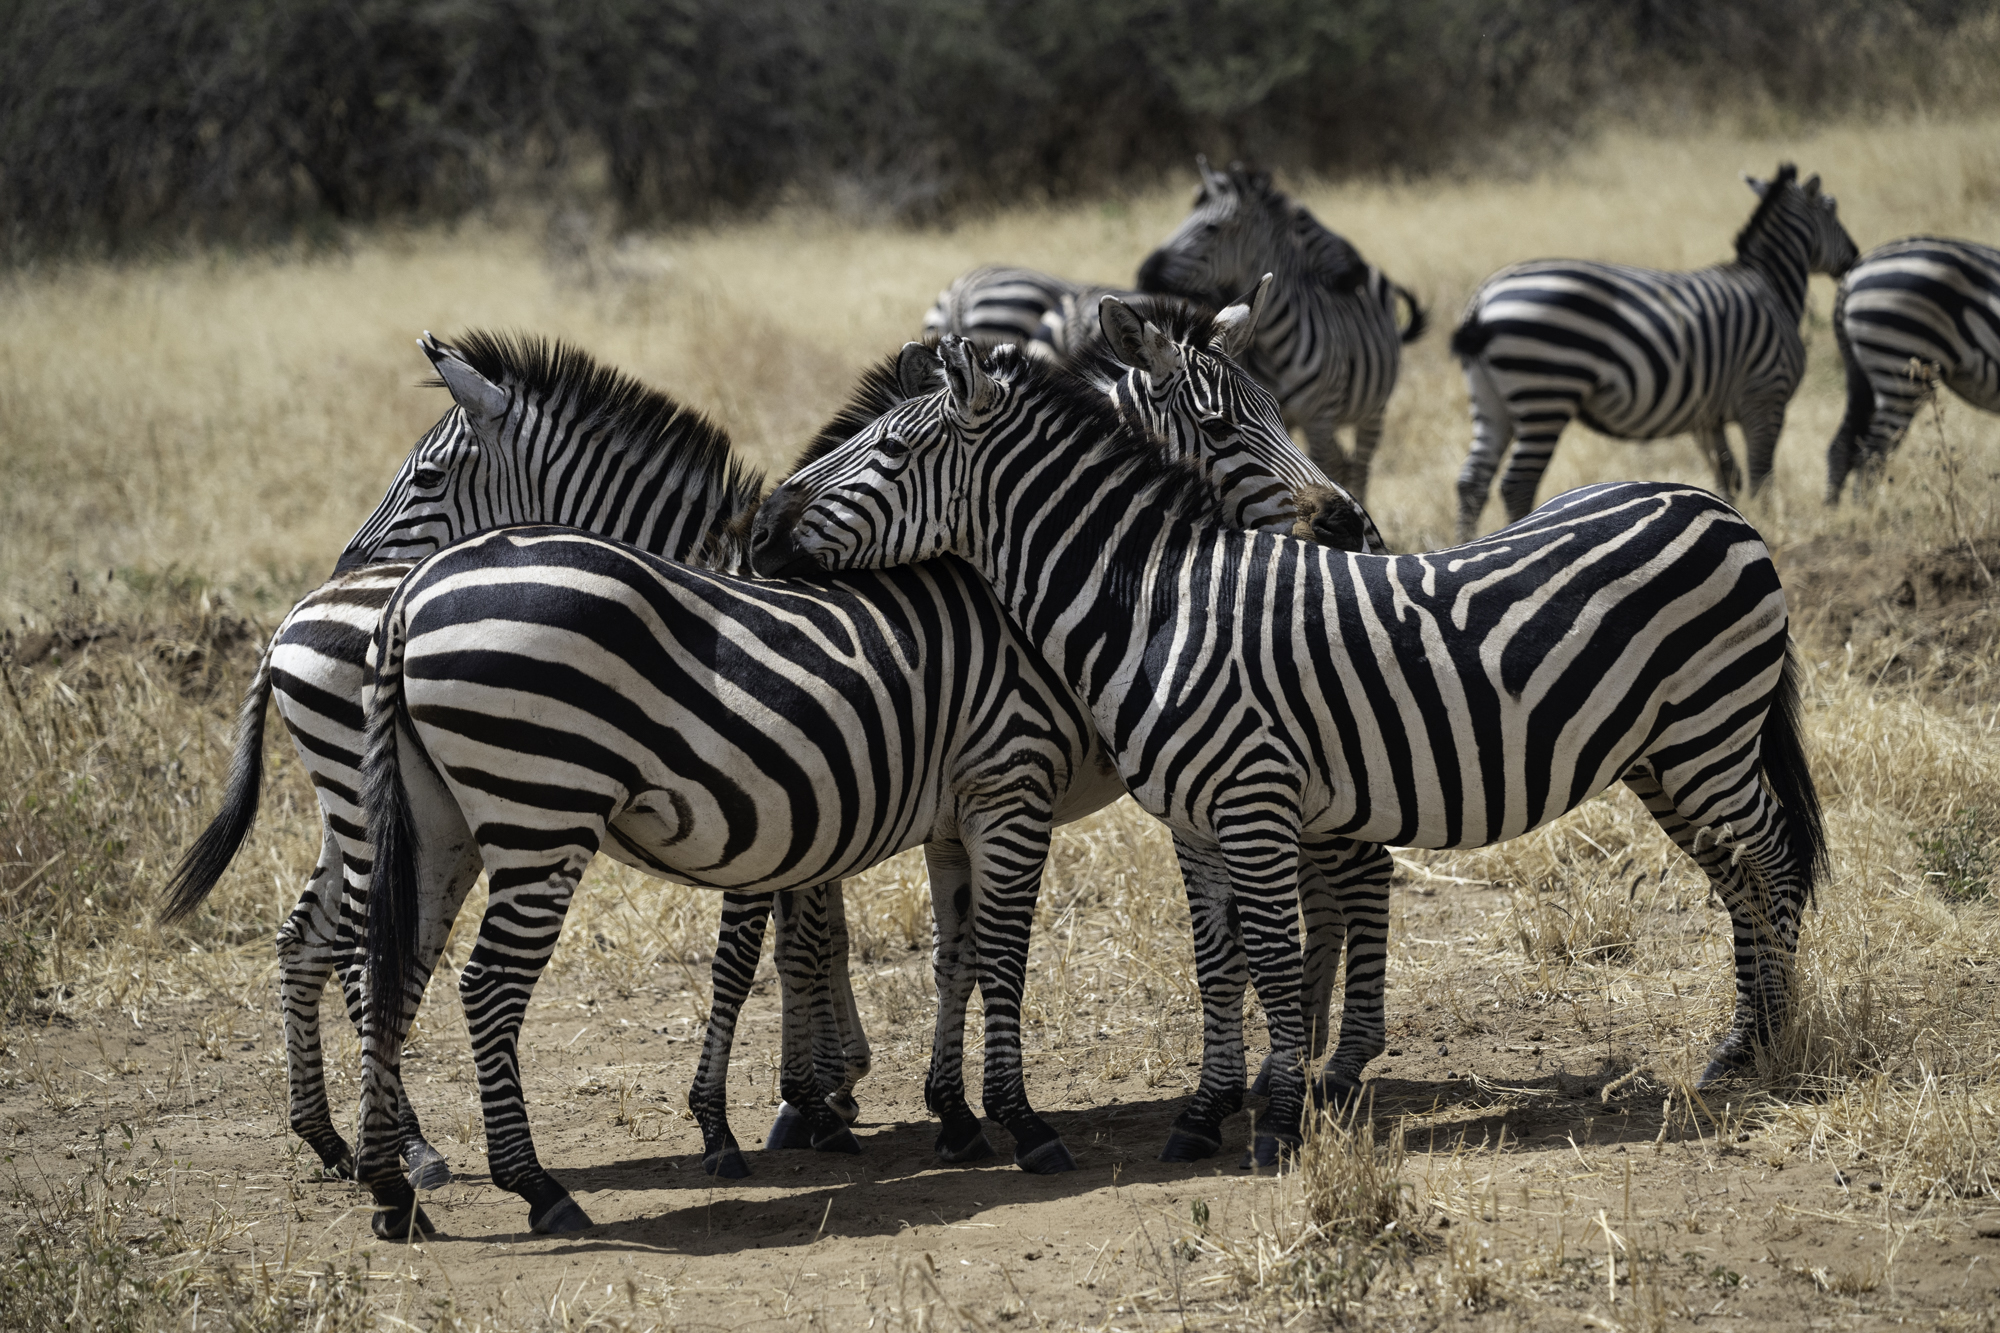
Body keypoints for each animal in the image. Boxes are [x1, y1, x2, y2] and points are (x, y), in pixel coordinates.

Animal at [749, 335, 1830, 1169]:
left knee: (1772, 861)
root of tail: (1712, 504)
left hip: (1708, 733)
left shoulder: (1253, 798)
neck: (1153, 605)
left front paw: (1275, 1123)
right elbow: (1215, 960)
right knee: (1738, 873)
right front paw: (1202, 1115)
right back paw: (1738, 1047)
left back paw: (1776, 1046)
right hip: (1666, 752)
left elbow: (1270, 953)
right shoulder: (1190, 819)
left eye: (890, 449)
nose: (764, 528)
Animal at [1135, 157, 1428, 498]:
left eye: (1212, 228)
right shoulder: (1272, 416)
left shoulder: (1317, 419)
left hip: (1372, 412)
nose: (1143, 275)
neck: (1272, 342)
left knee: (1359, 467)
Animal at [1451, 162, 1859, 542]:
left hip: (1491, 397)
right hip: (1546, 394)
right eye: (1833, 208)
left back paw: (1464, 546)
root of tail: (1484, 297)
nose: (1854, 258)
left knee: (1472, 482)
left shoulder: (1707, 414)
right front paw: (1769, 528)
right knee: (1517, 483)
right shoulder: (1765, 396)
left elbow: (1728, 475)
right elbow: (1762, 476)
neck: (1771, 285)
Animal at [1823, 236, 2000, 503]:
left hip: (1863, 371)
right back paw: (1868, 512)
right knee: (1871, 456)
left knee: (1843, 446)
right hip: (1899, 365)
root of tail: (1852, 274)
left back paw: (1834, 512)